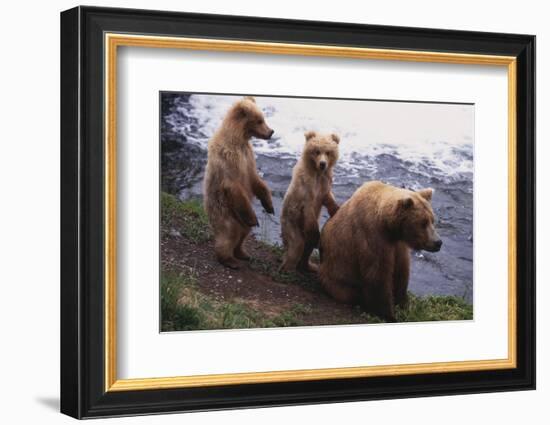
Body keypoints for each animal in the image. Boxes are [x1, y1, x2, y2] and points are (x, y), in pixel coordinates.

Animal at [205, 96, 276, 268]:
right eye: (259, 120)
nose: (271, 132)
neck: (238, 139)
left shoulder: (248, 157)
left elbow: (255, 180)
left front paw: (269, 206)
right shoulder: (229, 161)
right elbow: (234, 187)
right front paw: (255, 218)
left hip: (239, 219)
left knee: (244, 233)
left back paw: (242, 253)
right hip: (226, 214)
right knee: (229, 235)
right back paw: (229, 260)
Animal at [282, 129, 342, 274]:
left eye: (328, 152)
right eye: (317, 151)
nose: (322, 164)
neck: (317, 173)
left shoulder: (324, 184)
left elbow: (328, 197)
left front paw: (336, 209)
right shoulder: (306, 191)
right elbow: (309, 211)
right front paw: (315, 233)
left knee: (307, 248)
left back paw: (309, 265)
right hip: (291, 222)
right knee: (297, 245)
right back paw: (288, 268)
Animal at [320, 180, 444, 322]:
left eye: (432, 220)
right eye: (423, 223)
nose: (438, 242)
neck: (388, 227)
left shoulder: (398, 245)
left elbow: (401, 271)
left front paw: (404, 304)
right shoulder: (372, 237)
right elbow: (378, 275)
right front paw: (389, 315)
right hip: (337, 277)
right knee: (349, 291)